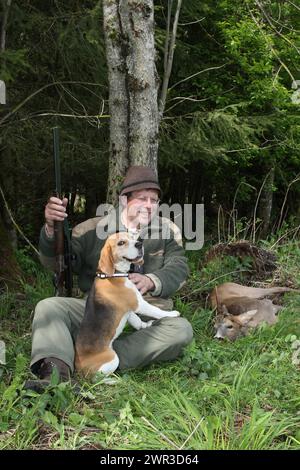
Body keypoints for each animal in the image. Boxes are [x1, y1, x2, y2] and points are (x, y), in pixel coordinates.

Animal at [75, 233, 180, 376]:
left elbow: (136, 320)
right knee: (98, 378)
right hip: (113, 359)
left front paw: (145, 325)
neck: (114, 274)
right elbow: (156, 310)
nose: (139, 244)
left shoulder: (129, 310)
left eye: (132, 237)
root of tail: (77, 367)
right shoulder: (140, 304)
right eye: (121, 243)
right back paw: (114, 379)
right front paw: (172, 314)